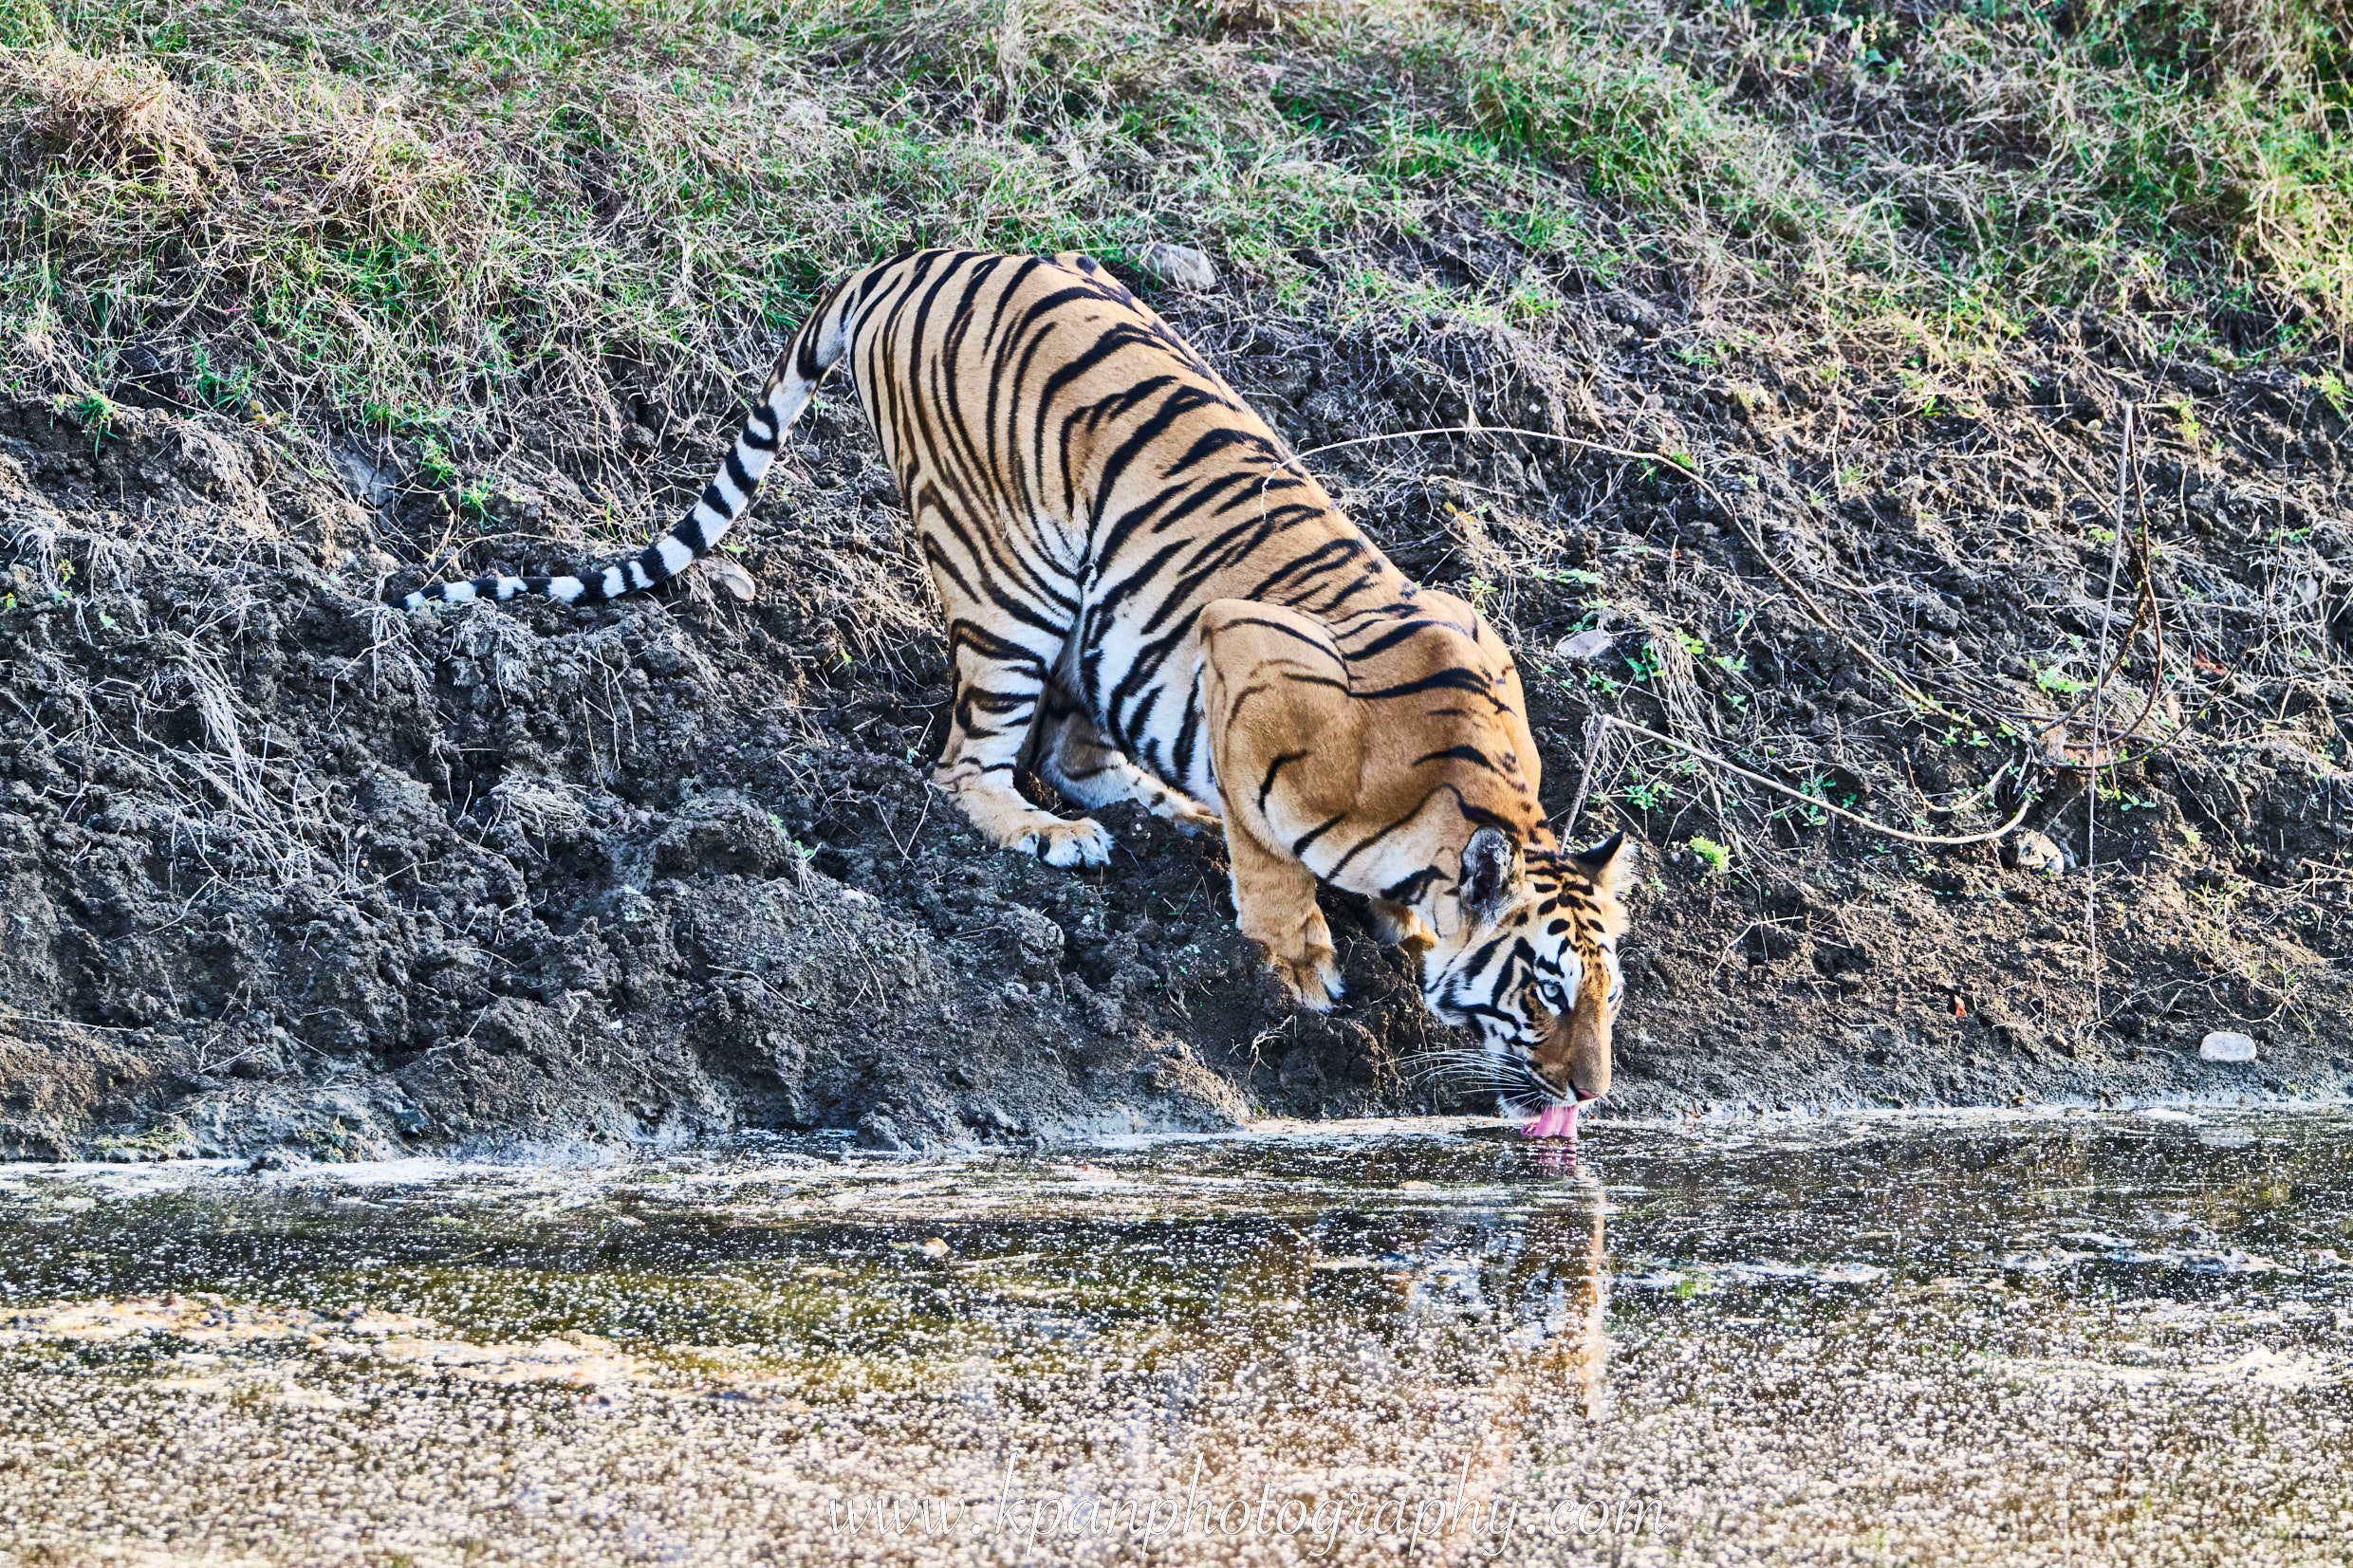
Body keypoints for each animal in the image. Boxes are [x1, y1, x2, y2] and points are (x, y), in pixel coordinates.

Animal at [392, 248, 1634, 1121]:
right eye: (1542, 993)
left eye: (1606, 996)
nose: (1591, 1095)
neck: (1462, 814)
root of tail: (913, 259)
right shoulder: (1244, 651)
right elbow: (1271, 861)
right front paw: (1305, 965)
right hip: (1011, 581)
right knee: (970, 763)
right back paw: (1051, 833)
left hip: (1095, 611)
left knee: (1075, 748)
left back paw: (1152, 804)